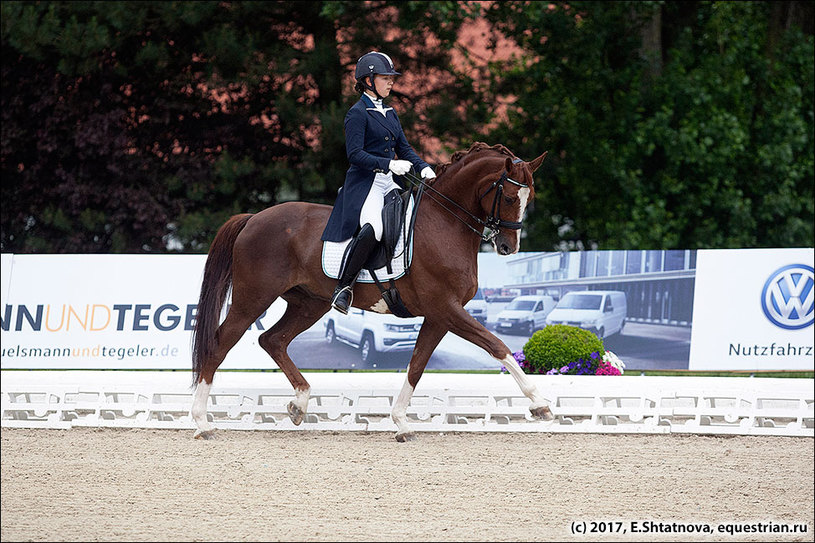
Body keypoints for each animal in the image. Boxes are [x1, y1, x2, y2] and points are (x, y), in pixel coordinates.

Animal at [191, 141, 552, 442]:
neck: (444, 223)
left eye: (530, 199)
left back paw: (299, 405)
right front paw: (539, 403)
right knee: (219, 344)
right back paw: (202, 422)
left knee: (273, 340)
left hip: (309, 304)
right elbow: (497, 346)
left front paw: (401, 423)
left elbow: (417, 365)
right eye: (509, 198)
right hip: (253, 299)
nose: (508, 247)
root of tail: (253, 218)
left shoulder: (439, 316)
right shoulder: (447, 308)